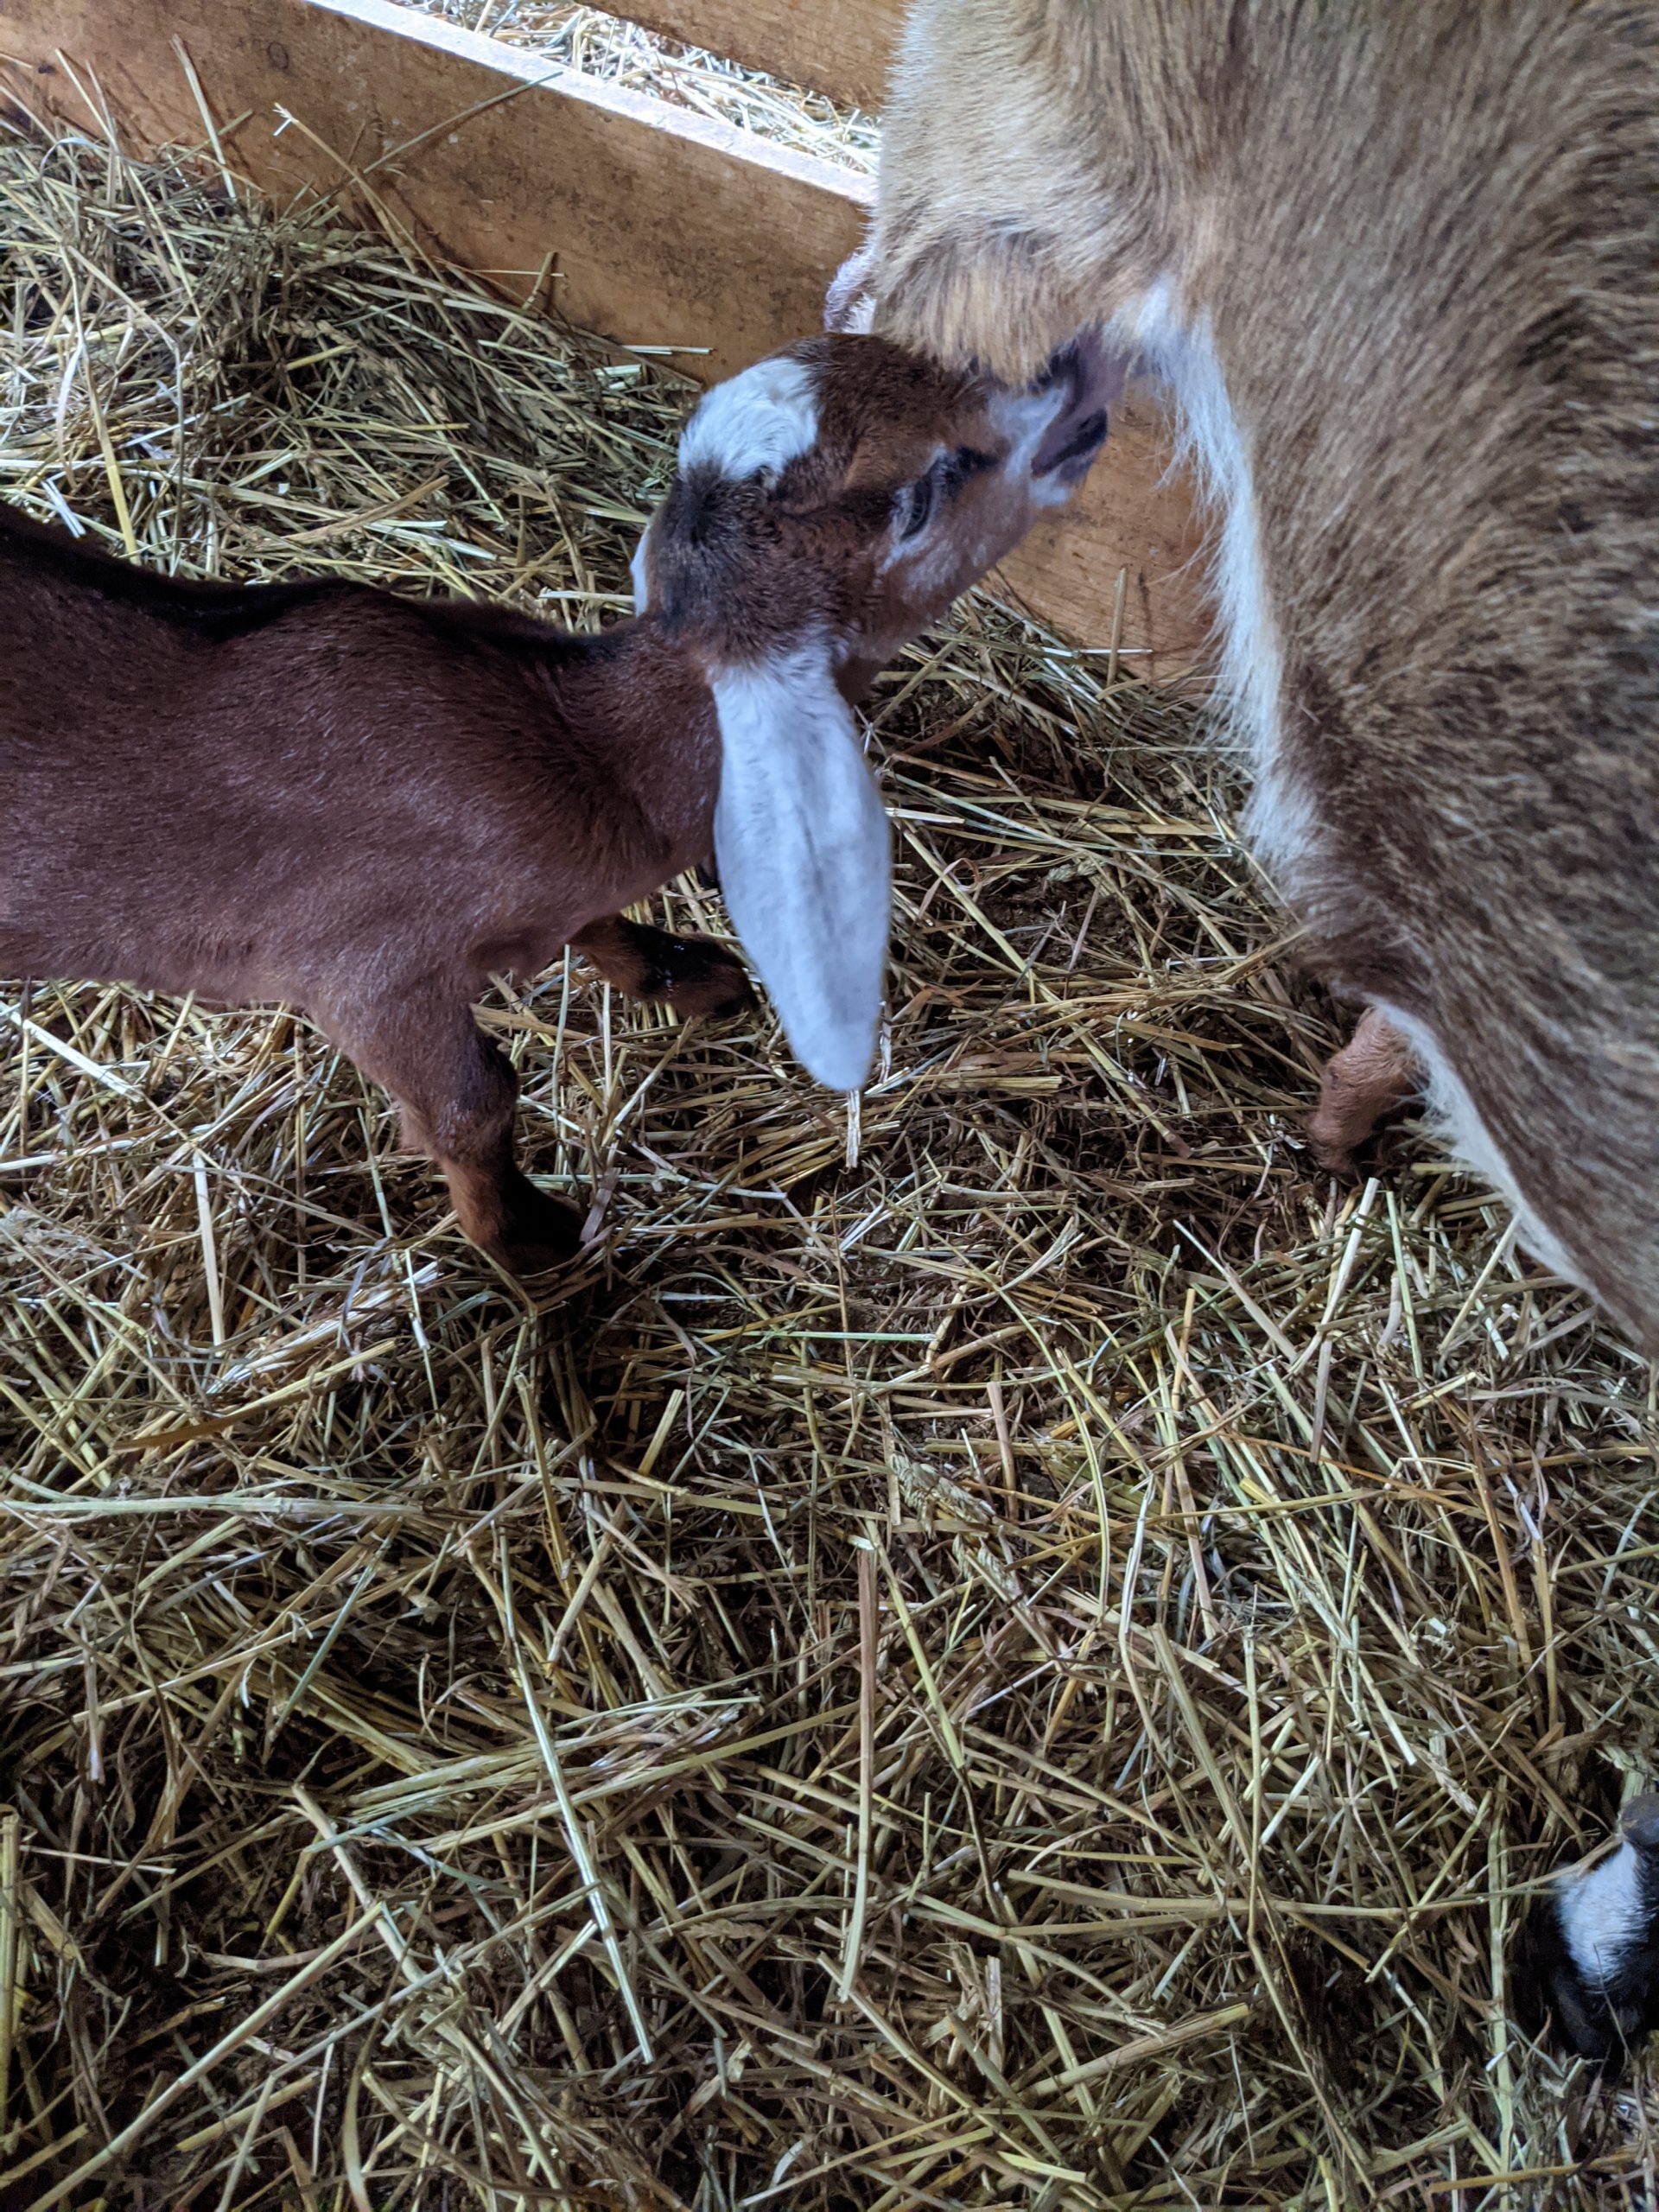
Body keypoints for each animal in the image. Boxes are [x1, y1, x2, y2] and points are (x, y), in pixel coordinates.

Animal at [3, 325, 1119, 1265]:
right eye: (927, 490)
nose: (1073, 366)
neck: (581, 746)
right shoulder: (363, 974)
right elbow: (474, 1105)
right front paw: (529, 1235)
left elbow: (603, 927)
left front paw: (689, 974)